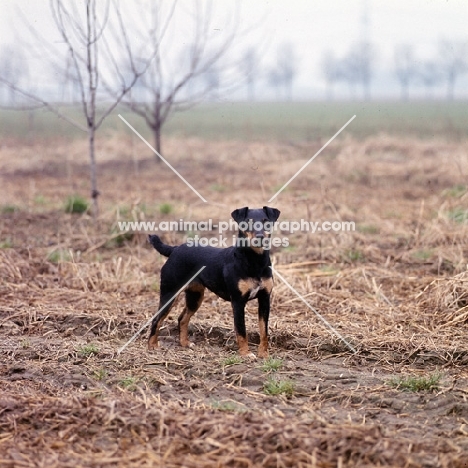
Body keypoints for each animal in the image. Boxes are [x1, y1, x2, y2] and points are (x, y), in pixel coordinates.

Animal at [148, 206, 280, 358]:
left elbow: (264, 331)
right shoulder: (238, 302)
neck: (255, 261)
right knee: (156, 319)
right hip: (170, 293)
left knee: (182, 319)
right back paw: (152, 346)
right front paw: (246, 354)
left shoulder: (265, 299)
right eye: (248, 222)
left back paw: (185, 343)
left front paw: (263, 354)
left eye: (266, 221)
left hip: (195, 296)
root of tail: (174, 249)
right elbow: (241, 330)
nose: (260, 237)